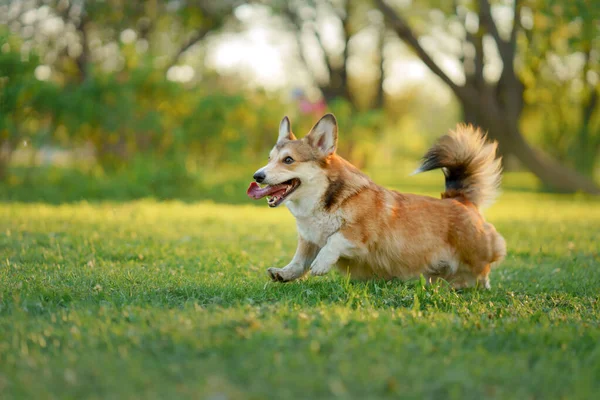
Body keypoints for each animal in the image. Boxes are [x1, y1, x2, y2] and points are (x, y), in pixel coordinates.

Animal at [247, 114, 506, 290]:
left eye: (288, 160)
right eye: (269, 159)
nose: (257, 176)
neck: (324, 200)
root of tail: (460, 199)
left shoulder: (359, 236)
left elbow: (334, 240)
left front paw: (321, 264)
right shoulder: (308, 241)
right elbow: (299, 261)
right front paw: (283, 273)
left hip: (477, 253)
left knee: (484, 268)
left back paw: (477, 284)